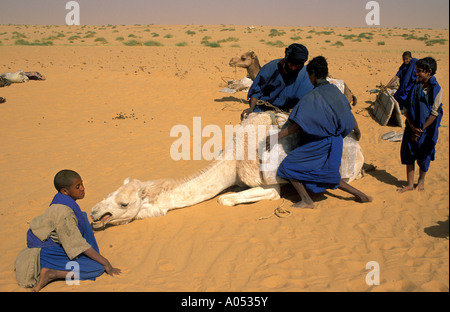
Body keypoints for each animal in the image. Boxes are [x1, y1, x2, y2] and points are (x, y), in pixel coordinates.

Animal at [89, 112, 364, 229]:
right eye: (109, 193)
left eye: (124, 204)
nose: (93, 212)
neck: (234, 158)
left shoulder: (270, 185)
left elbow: (226, 199)